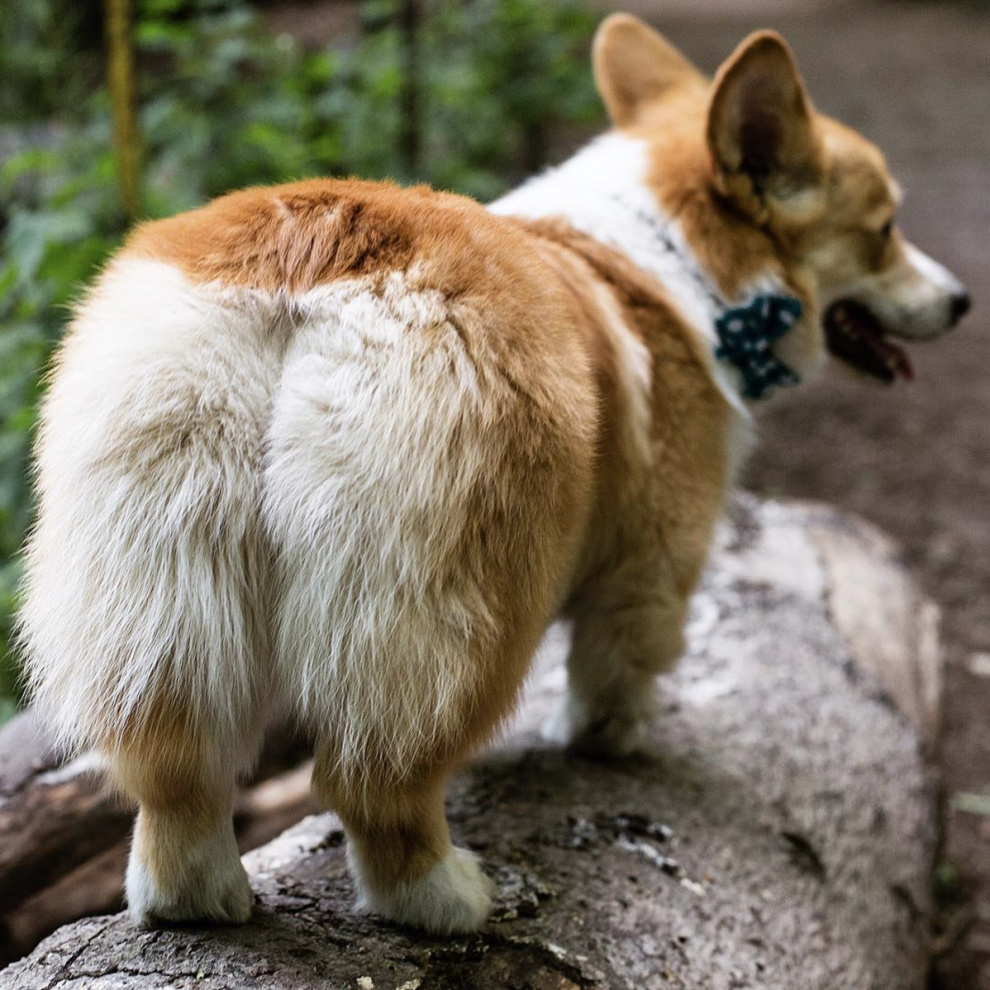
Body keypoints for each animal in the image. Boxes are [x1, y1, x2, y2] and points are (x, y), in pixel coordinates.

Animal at [19, 15, 972, 936]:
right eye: (885, 228)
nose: (962, 301)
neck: (678, 258)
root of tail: (312, 263)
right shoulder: (657, 560)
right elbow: (619, 668)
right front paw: (611, 739)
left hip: (161, 561)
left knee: (176, 770)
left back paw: (193, 900)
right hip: (461, 598)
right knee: (378, 775)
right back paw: (447, 900)